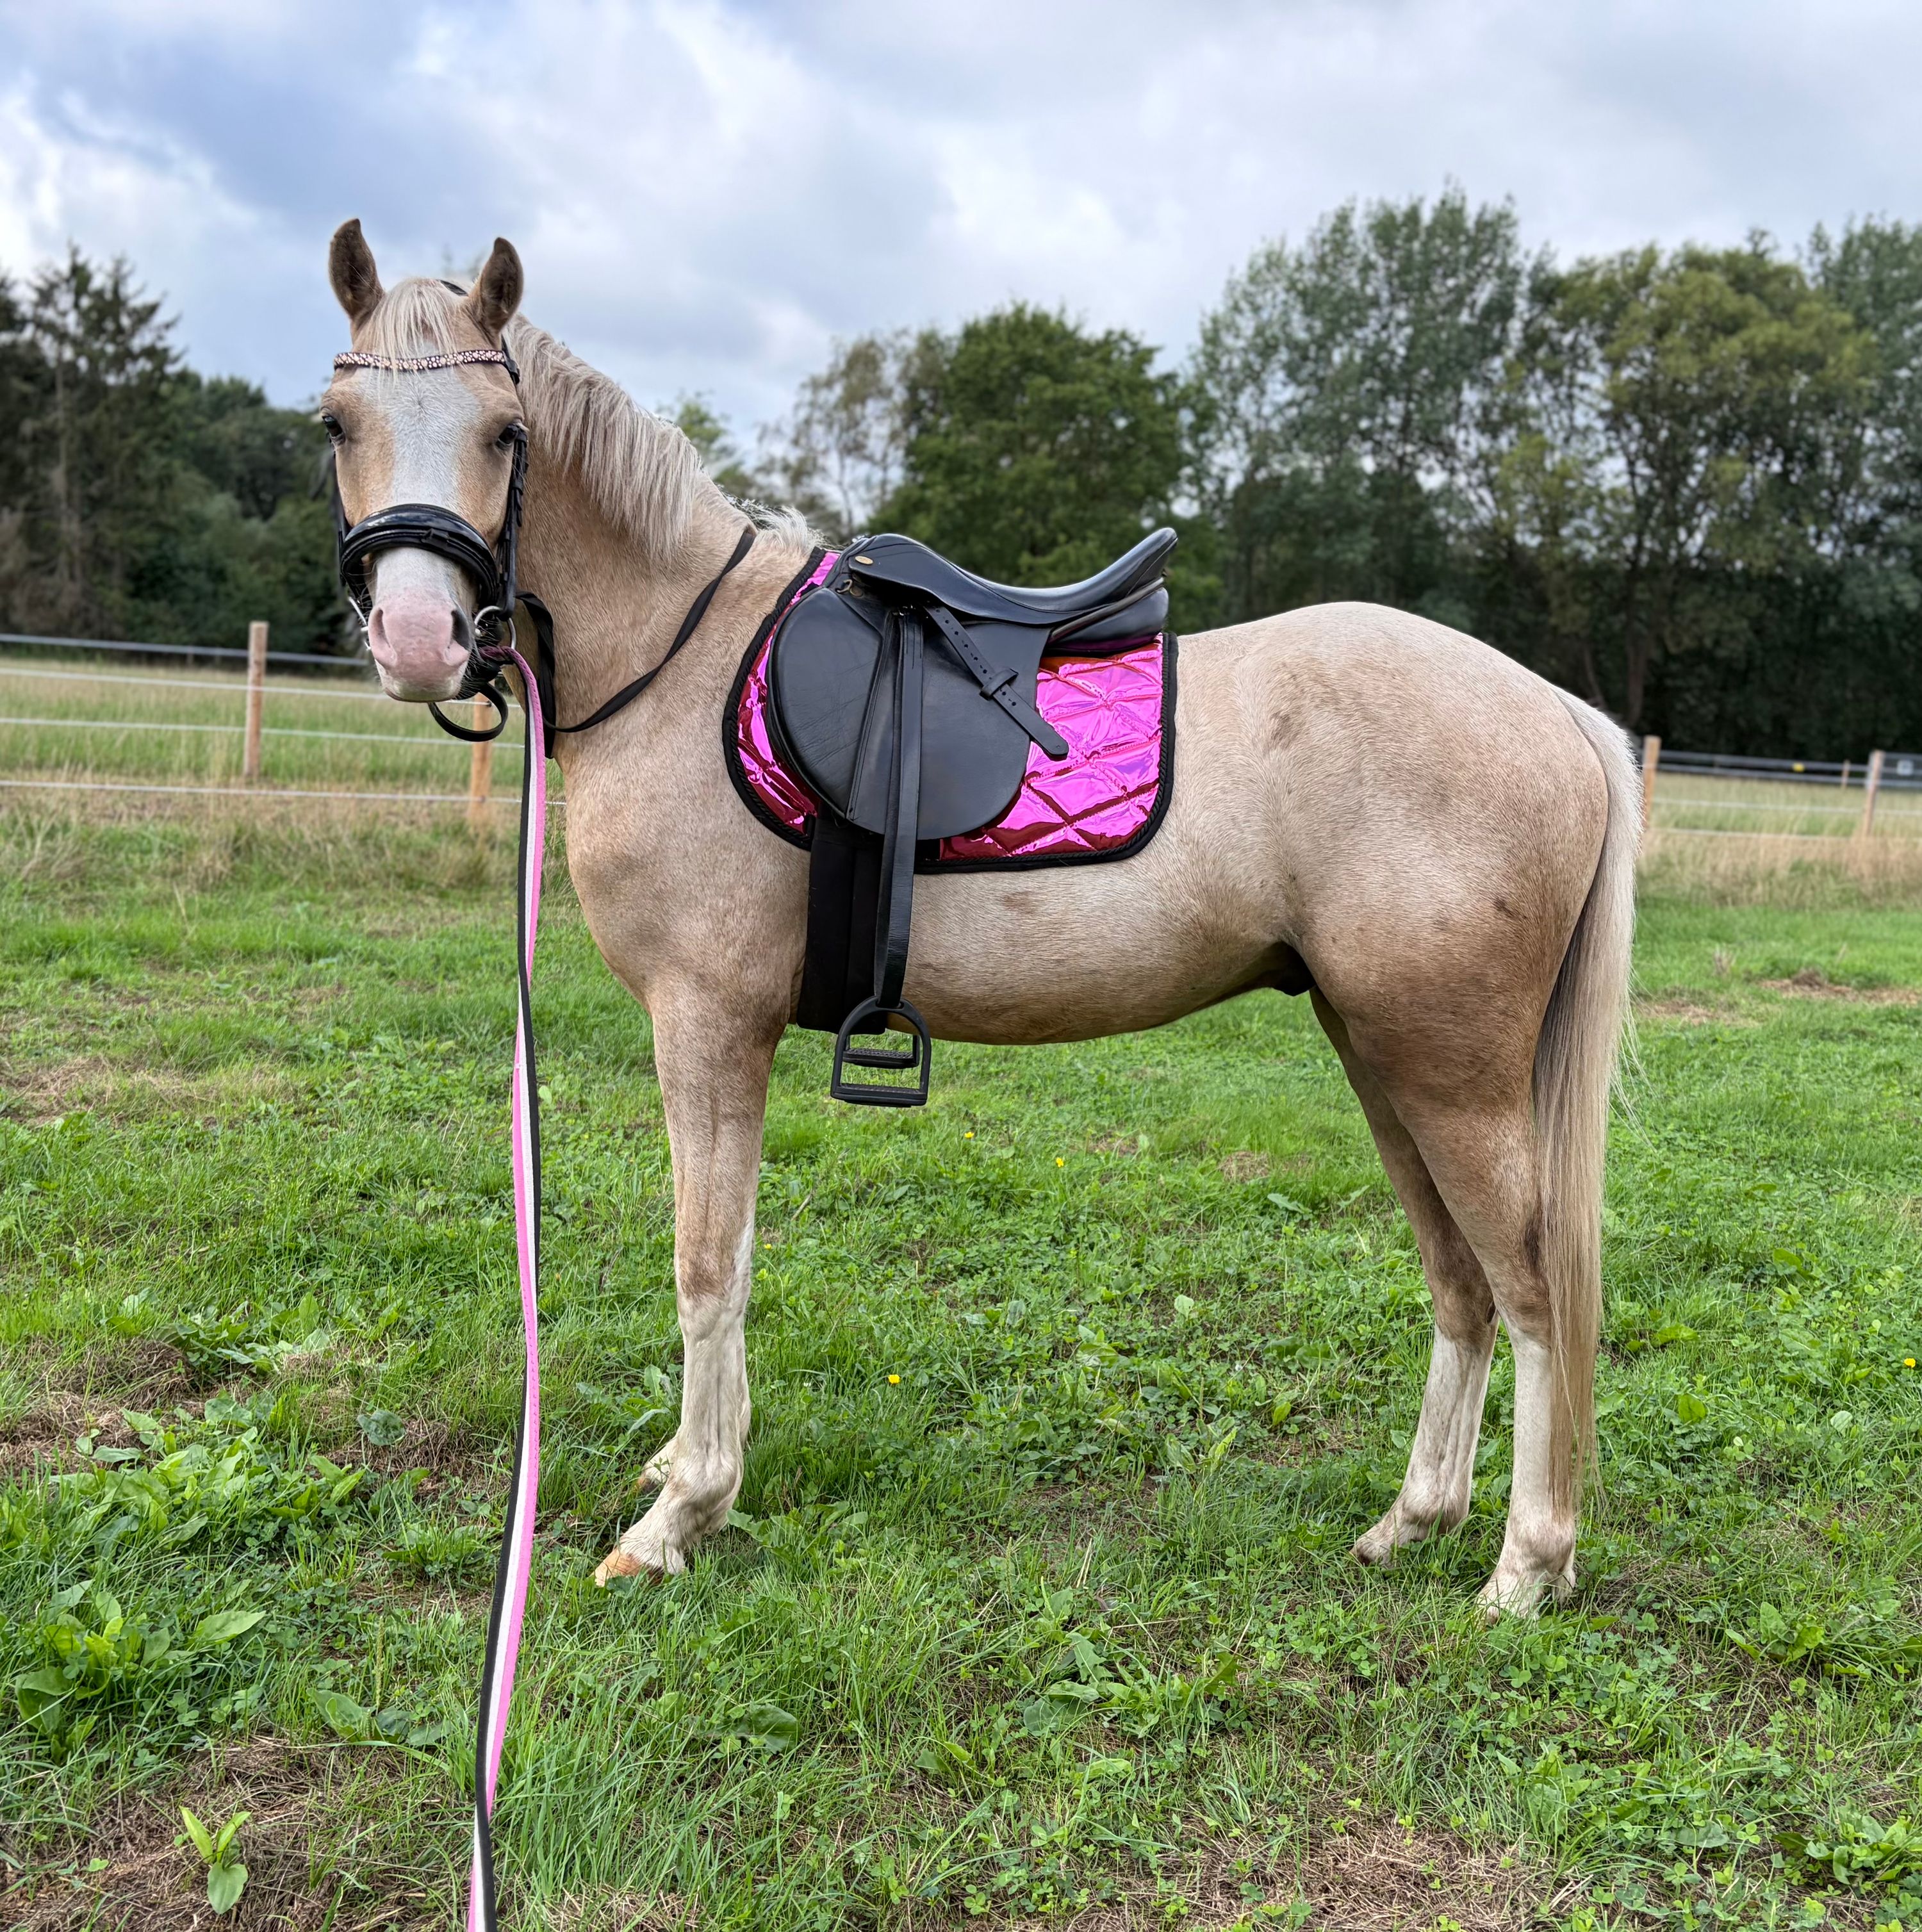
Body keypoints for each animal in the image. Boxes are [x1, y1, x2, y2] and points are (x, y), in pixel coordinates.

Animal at [320, 221, 1638, 1617]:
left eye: (507, 431)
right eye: (338, 422)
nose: (418, 639)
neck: (678, 662)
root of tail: (1560, 714)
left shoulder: (710, 1023)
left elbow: (708, 1261)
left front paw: (685, 1511)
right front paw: (684, 1465)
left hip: (1453, 1073)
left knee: (1535, 1289)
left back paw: (1525, 1566)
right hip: (1382, 1052)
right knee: (1462, 1284)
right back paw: (1416, 1520)